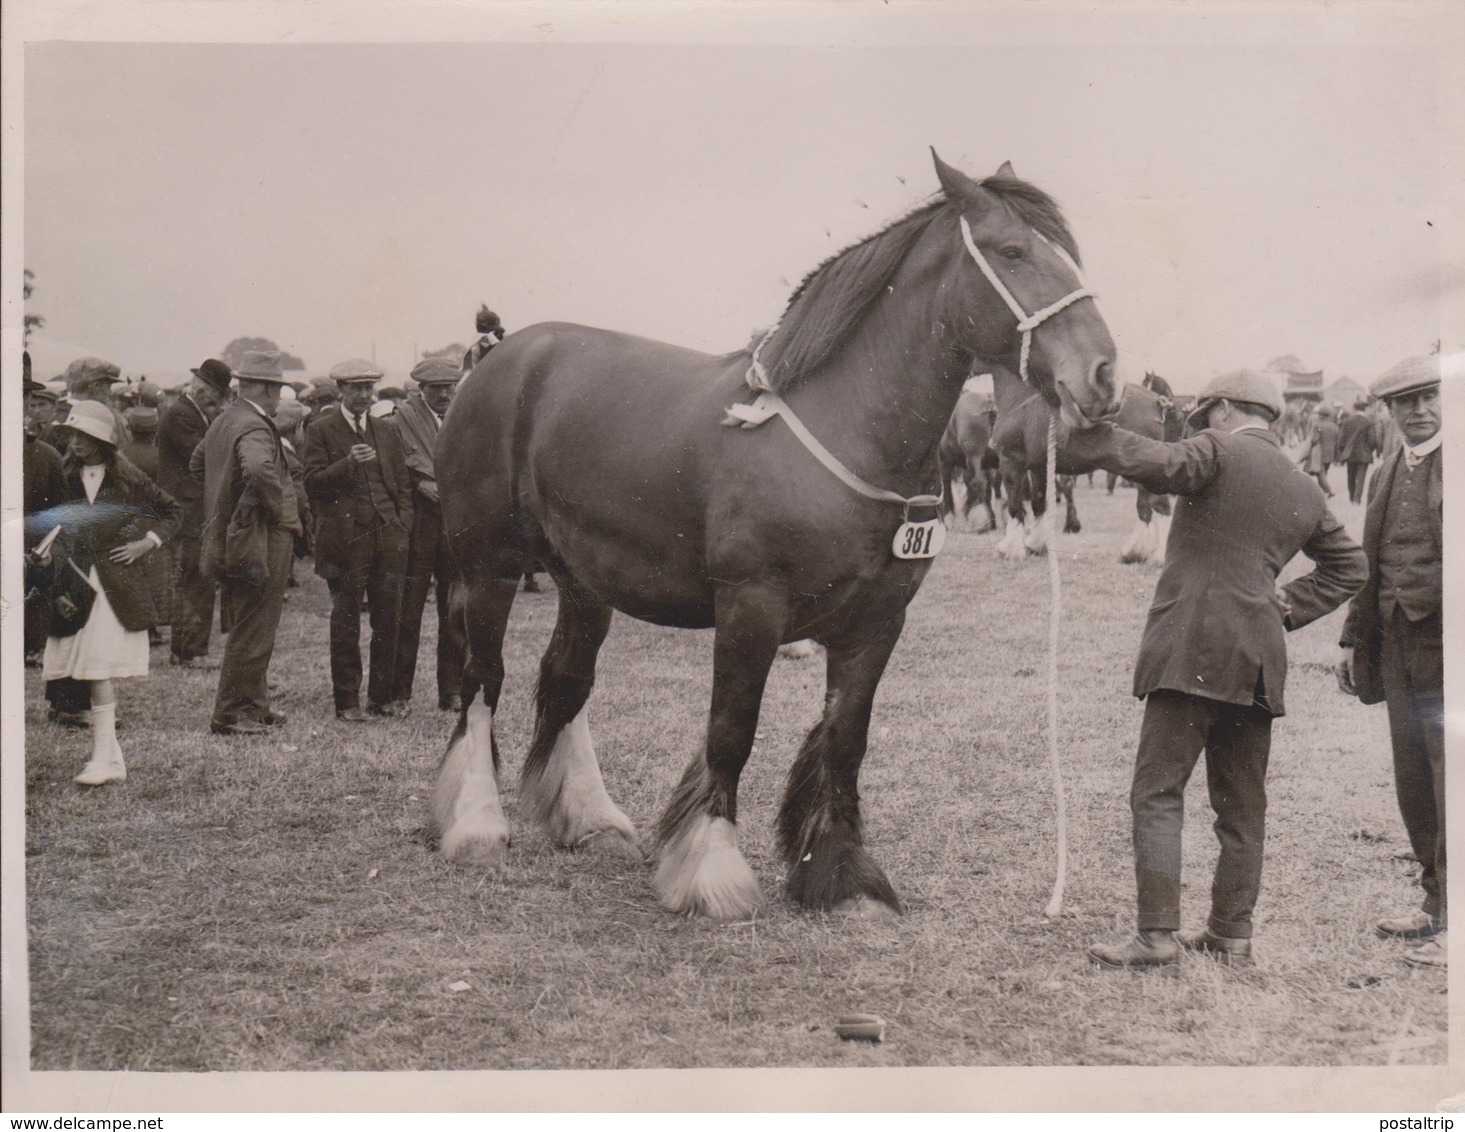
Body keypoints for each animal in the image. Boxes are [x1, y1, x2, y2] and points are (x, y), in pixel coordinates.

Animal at [427, 150, 1113, 925]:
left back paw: (587, 819)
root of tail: (500, 360)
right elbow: (732, 732)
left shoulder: (878, 621)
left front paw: (838, 871)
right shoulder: (750, 607)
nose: (1100, 374)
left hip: (584, 581)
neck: (847, 427)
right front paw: (711, 869)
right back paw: (476, 823)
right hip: (487, 566)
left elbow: (845, 741)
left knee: (566, 679)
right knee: (483, 679)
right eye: (1011, 251)